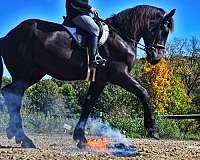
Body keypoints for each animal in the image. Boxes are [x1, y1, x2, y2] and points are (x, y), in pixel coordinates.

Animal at [0, 5, 174, 148]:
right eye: (163, 30)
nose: (156, 58)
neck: (121, 38)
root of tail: (7, 37)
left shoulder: (100, 80)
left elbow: (88, 105)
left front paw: (80, 138)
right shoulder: (119, 75)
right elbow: (143, 92)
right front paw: (152, 129)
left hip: (33, 74)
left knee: (11, 94)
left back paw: (16, 134)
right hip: (25, 75)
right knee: (13, 96)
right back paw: (23, 138)